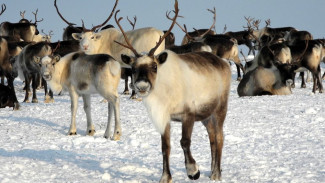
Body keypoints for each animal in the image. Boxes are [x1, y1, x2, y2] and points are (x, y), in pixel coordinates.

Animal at [114, 1, 230, 182]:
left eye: (154, 66)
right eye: (133, 68)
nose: (141, 86)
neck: (164, 95)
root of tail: (223, 62)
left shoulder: (188, 113)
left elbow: (185, 141)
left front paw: (193, 170)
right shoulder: (164, 117)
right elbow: (165, 146)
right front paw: (165, 177)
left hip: (220, 108)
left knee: (219, 137)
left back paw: (217, 174)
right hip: (206, 114)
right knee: (212, 137)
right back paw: (212, 171)